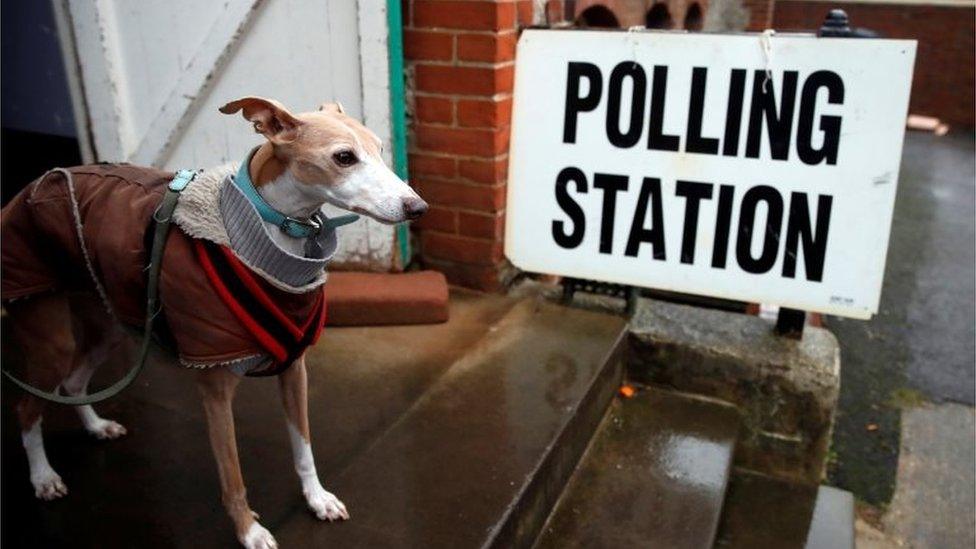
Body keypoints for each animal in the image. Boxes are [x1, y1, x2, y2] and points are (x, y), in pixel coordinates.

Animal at [1, 96, 428, 544]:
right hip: (49, 336)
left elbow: (303, 447)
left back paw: (96, 426)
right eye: (344, 157)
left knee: (73, 382)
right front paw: (249, 531)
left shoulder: (294, 369)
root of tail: (32, 186)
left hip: (109, 324)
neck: (270, 234)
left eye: (380, 148)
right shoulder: (215, 390)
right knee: (27, 407)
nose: (418, 208)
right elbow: (232, 476)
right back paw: (43, 477)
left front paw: (317, 499)